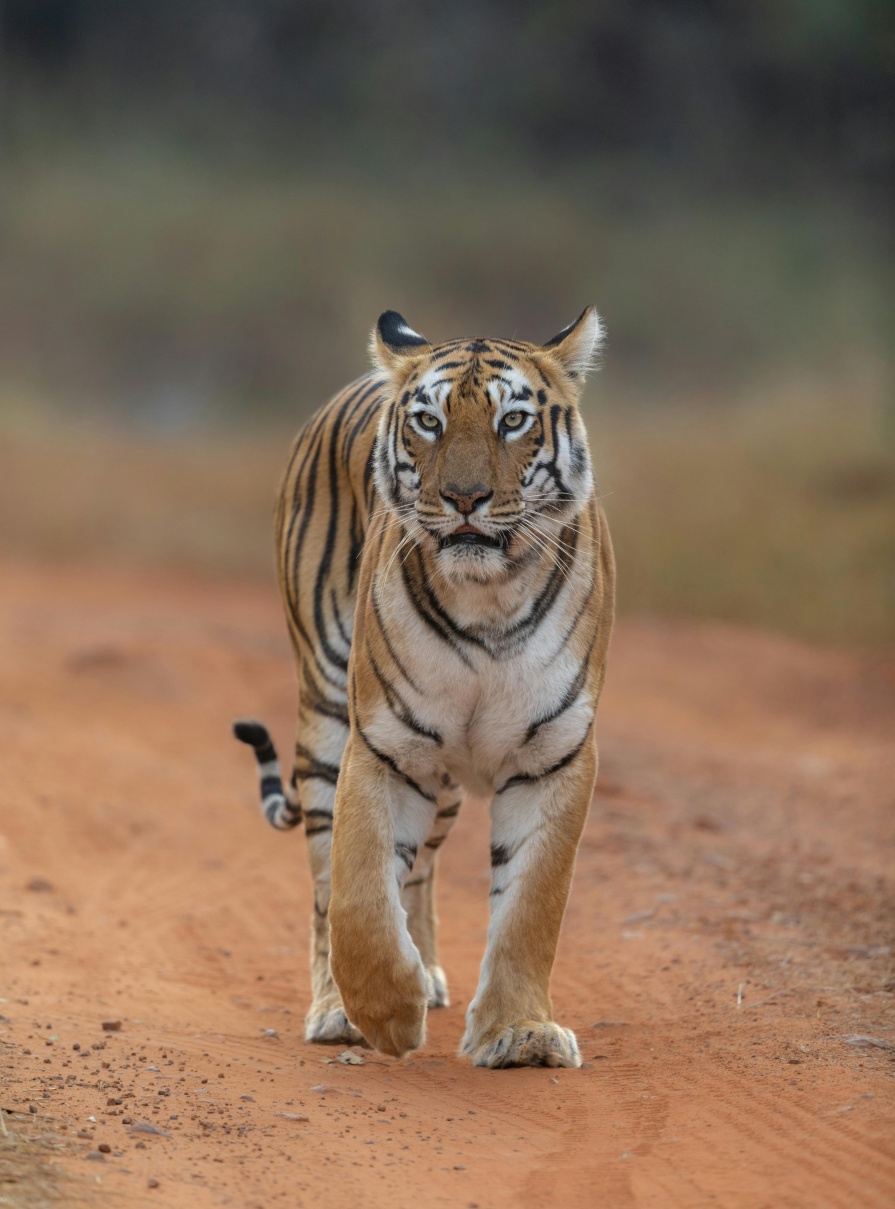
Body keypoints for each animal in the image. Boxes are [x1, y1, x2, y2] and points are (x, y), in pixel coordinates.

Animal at [234, 306, 615, 1068]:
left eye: (512, 421)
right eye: (429, 423)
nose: (464, 498)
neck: (489, 599)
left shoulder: (553, 754)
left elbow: (532, 905)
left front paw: (520, 1032)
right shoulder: (384, 746)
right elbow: (357, 894)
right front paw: (383, 1014)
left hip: (443, 786)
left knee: (421, 872)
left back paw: (430, 973)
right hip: (326, 715)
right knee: (328, 882)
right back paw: (337, 1008)